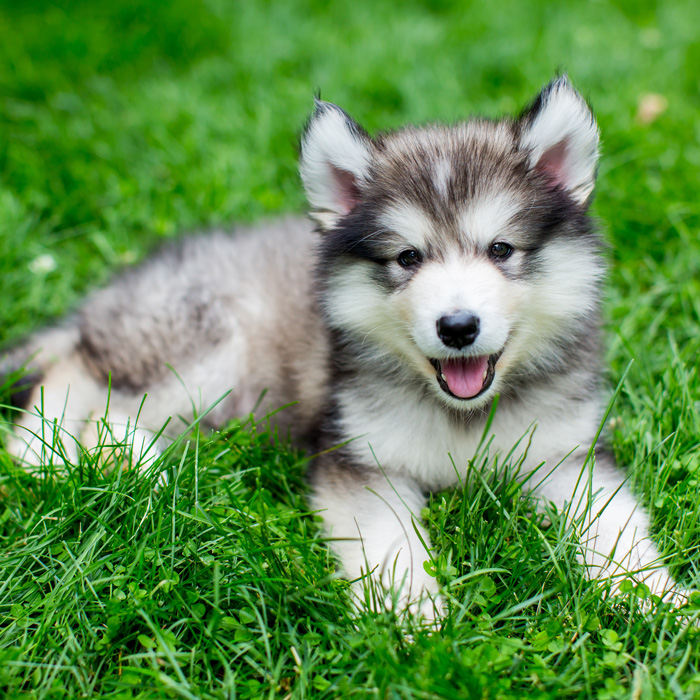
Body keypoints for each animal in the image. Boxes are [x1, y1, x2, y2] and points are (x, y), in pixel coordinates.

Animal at [0, 78, 680, 616]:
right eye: (407, 258)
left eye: (501, 249)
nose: (458, 327)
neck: (463, 418)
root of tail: (119, 286)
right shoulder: (362, 461)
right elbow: (392, 542)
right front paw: (415, 621)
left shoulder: (570, 456)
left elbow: (615, 527)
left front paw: (658, 598)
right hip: (210, 345)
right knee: (84, 373)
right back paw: (55, 454)